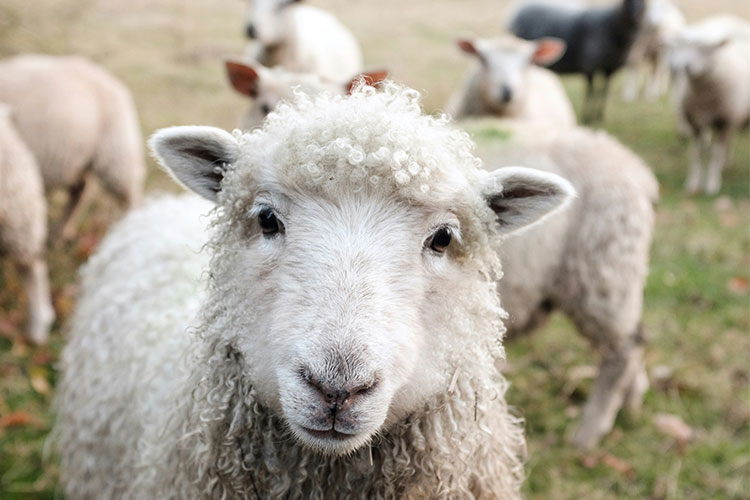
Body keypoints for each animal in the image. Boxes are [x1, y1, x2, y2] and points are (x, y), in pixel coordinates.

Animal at [0, 54, 145, 239]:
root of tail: (114, 82)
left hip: (117, 154)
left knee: (130, 195)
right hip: (78, 160)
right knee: (80, 192)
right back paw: (61, 231)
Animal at [509, 0, 645, 123]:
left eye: (644, 2)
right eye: (627, 1)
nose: (636, 13)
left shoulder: (609, 69)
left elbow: (603, 92)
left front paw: (599, 116)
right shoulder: (589, 66)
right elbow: (591, 92)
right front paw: (587, 117)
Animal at [669, 15, 750, 195]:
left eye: (705, 49)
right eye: (683, 46)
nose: (685, 66)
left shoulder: (725, 122)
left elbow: (715, 154)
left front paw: (712, 184)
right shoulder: (695, 123)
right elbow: (696, 153)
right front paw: (692, 183)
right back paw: (725, 165)